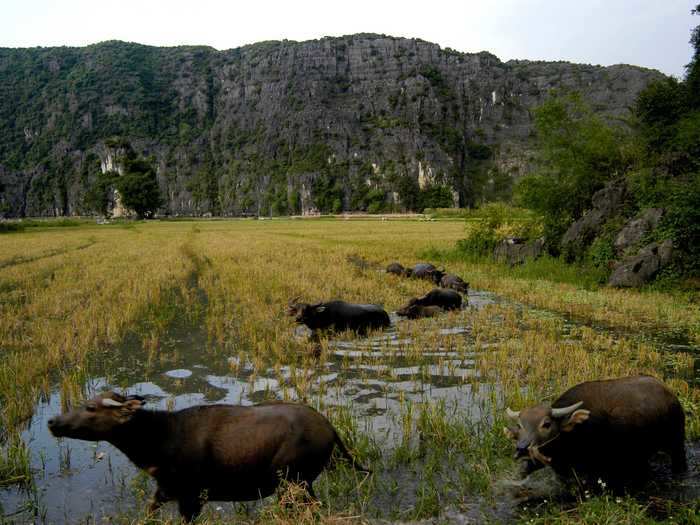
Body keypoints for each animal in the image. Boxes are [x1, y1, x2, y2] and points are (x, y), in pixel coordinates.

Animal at [48, 392, 366, 520]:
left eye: (90, 408)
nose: (53, 421)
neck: (162, 438)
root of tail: (329, 426)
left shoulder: (191, 498)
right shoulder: (165, 490)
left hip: (294, 483)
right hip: (299, 485)